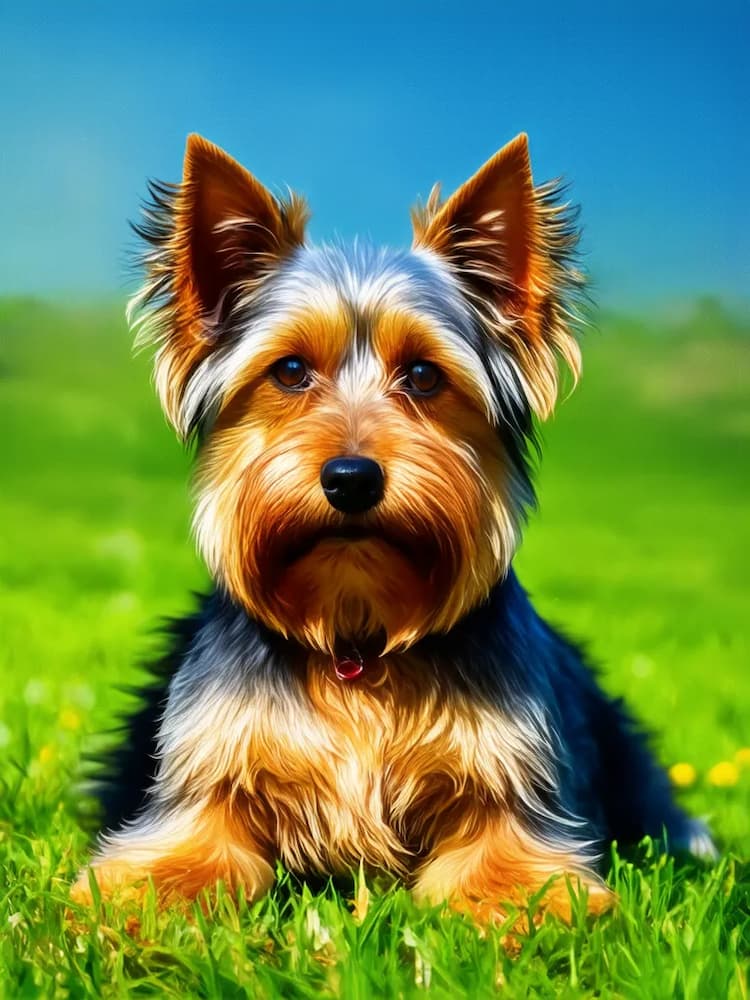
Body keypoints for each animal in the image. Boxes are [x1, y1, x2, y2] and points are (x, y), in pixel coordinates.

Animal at [72, 133, 716, 920]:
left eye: (424, 375)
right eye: (290, 371)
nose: (351, 478)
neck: (356, 638)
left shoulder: (510, 784)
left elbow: (513, 874)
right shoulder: (202, 780)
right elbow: (181, 859)